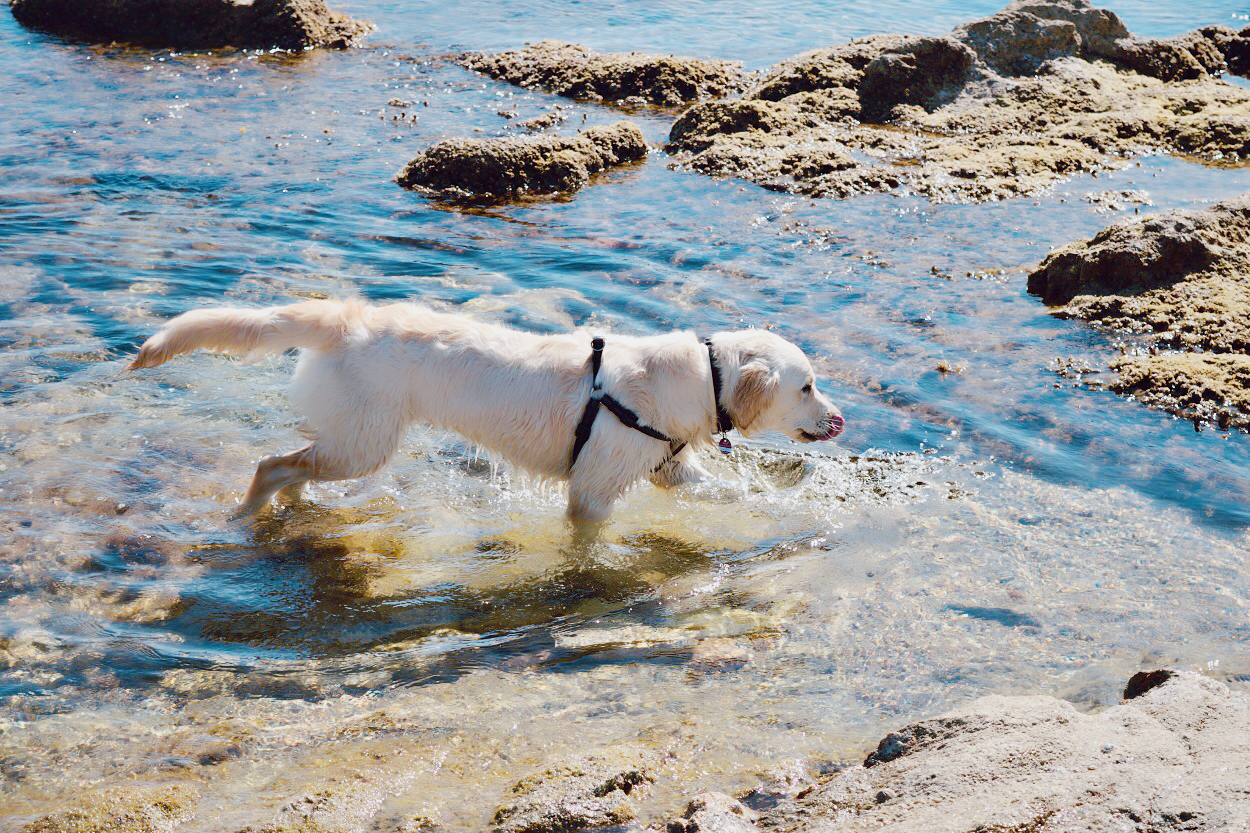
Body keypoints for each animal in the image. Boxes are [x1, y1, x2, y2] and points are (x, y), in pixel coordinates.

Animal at [126, 298, 845, 520]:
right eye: (808, 386)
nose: (840, 420)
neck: (696, 378)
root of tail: (347, 317)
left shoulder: (668, 468)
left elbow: (723, 489)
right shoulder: (592, 490)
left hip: (350, 437)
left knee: (296, 460)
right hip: (365, 442)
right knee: (271, 464)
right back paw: (250, 512)